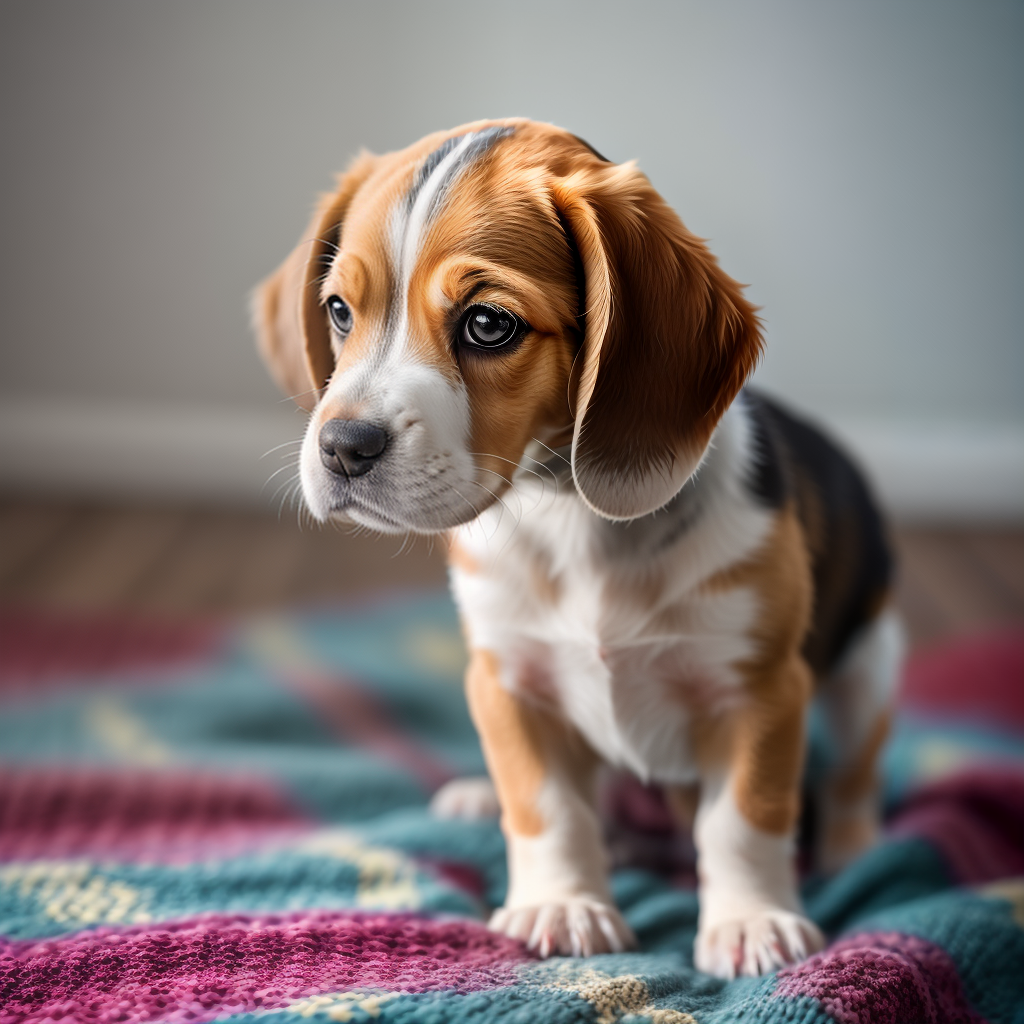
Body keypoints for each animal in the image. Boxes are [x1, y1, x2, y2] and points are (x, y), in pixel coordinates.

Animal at [253, 119, 897, 974]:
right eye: (337, 310)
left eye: (488, 324)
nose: (342, 447)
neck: (569, 519)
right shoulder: (507, 681)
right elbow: (546, 806)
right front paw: (561, 904)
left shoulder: (761, 690)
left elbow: (744, 819)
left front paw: (752, 920)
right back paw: (483, 797)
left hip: (871, 664)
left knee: (855, 771)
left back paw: (852, 846)